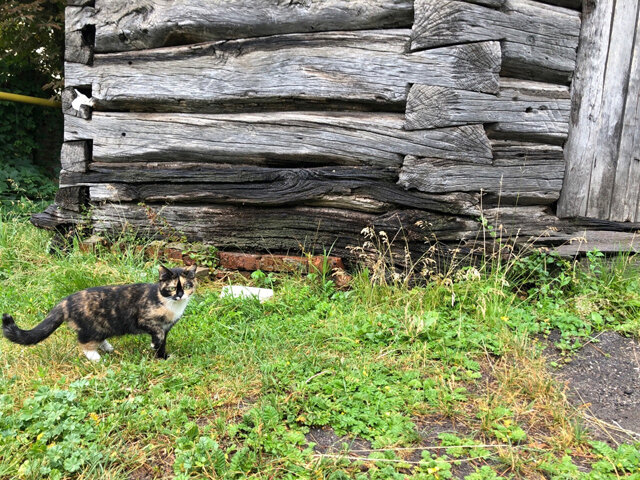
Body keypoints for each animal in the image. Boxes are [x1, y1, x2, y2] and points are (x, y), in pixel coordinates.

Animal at [1, 264, 196, 362]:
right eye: (172, 288)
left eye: (187, 285)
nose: (180, 295)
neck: (168, 302)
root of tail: (66, 301)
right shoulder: (144, 319)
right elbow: (158, 334)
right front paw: (155, 346)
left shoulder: (167, 327)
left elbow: (163, 340)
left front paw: (163, 357)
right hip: (92, 325)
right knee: (83, 341)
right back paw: (95, 358)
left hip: (104, 325)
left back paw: (107, 348)